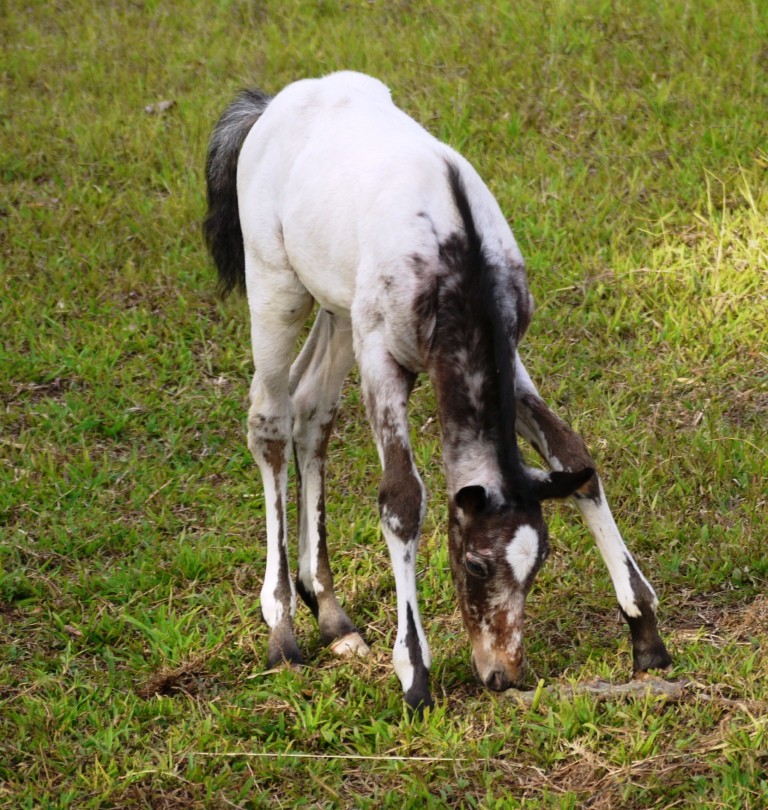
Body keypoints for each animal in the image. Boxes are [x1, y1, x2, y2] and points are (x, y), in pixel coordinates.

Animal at [202, 72, 664, 712]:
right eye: (474, 564)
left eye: (538, 566)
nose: (501, 673)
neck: (456, 256)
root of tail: (271, 105)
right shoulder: (382, 357)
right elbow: (402, 498)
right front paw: (414, 675)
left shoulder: (509, 355)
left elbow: (574, 455)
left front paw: (646, 636)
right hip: (275, 285)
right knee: (269, 418)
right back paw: (284, 629)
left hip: (338, 309)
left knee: (311, 410)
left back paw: (332, 615)